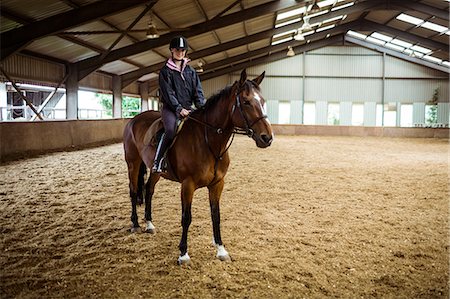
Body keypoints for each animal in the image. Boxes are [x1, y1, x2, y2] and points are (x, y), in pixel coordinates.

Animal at [123, 69, 272, 264]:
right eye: (246, 102)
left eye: (262, 101)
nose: (267, 138)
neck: (209, 142)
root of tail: (134, 120)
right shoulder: (188, 185)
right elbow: (186, 217)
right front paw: (183, 253)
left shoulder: (217, 184)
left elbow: (216, 216)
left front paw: (221, 250)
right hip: (133, 163)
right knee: (133, 191)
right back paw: (135, 224)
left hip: (155, 171)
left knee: (148, 190)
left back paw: (149, 224)